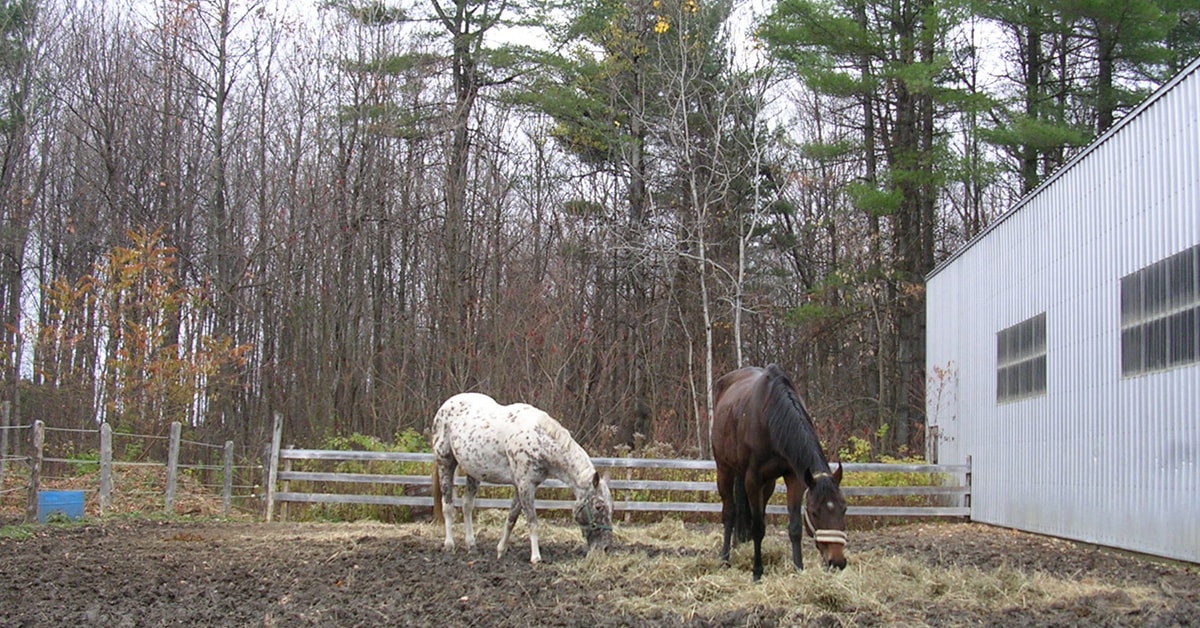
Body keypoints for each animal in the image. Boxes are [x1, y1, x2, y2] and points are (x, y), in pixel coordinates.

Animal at [431, 392, 614, 564]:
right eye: (598, 507)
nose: (605, 548)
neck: (538, 441)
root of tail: (446, 405)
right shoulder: (525, 485)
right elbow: (532, 521)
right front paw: (536, 557)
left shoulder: (522, 486)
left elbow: (512, 518)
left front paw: (501, 550)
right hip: (445, 462)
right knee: (447, 505)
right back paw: (449, 545)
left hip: (473, 472)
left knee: (467, 505)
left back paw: (471, 545)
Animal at [711, 364, 848, 581]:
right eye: (814, 512)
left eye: (844, 509)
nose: (837, 562)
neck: (769, 418)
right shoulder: (753, 480)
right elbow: (758, 528)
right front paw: (757, 572)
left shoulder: (794, 478)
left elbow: (795, 527)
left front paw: (798, 568)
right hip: (725, 469)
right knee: (729, 513)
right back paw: (725, 558)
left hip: (768, 484)